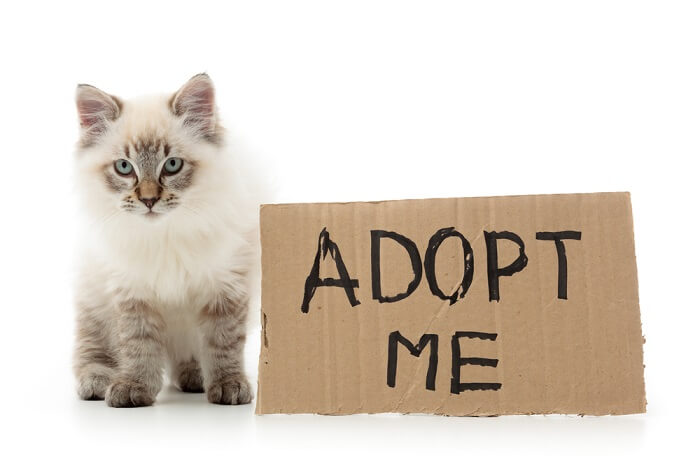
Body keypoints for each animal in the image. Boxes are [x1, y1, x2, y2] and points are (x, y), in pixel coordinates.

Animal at [73, 74, 258, 406]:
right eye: (124, 167)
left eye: (172, 165)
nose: (148, 200)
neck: (165, 234)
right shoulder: (133, 291)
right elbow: (138, 345)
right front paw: (133, 387)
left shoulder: (225, 285)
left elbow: (223, 344)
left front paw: (229, 385)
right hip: (92, 300)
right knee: (92, 349)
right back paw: (98, 381)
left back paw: (195, 377)